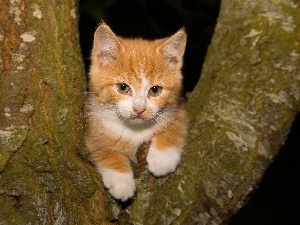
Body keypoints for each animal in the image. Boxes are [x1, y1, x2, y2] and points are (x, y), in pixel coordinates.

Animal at [85, 23, 188, 202]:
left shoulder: (179, 109)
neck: (135, 130)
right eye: (123, 87)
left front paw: (163, 158)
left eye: (155, 90)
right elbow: (103, 149)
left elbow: (175, 126)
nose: (139, 108)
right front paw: (120, 179)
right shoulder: (91, 125)